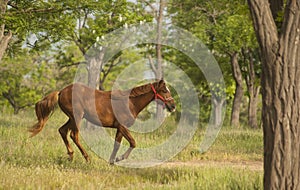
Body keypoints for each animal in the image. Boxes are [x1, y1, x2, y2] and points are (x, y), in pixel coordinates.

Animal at [28, 79, 176, 164]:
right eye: (164, 90)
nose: (173, 106)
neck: (130, 102)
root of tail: (60, 92)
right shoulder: (123, 127)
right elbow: (133, 142)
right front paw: (119, 158)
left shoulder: (119, 128)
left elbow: (117, 144)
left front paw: (112, 161)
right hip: (77, 117)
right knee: (73, 135)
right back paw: (87, 158)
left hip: (72, 118)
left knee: (63, 131)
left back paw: (71, 156)